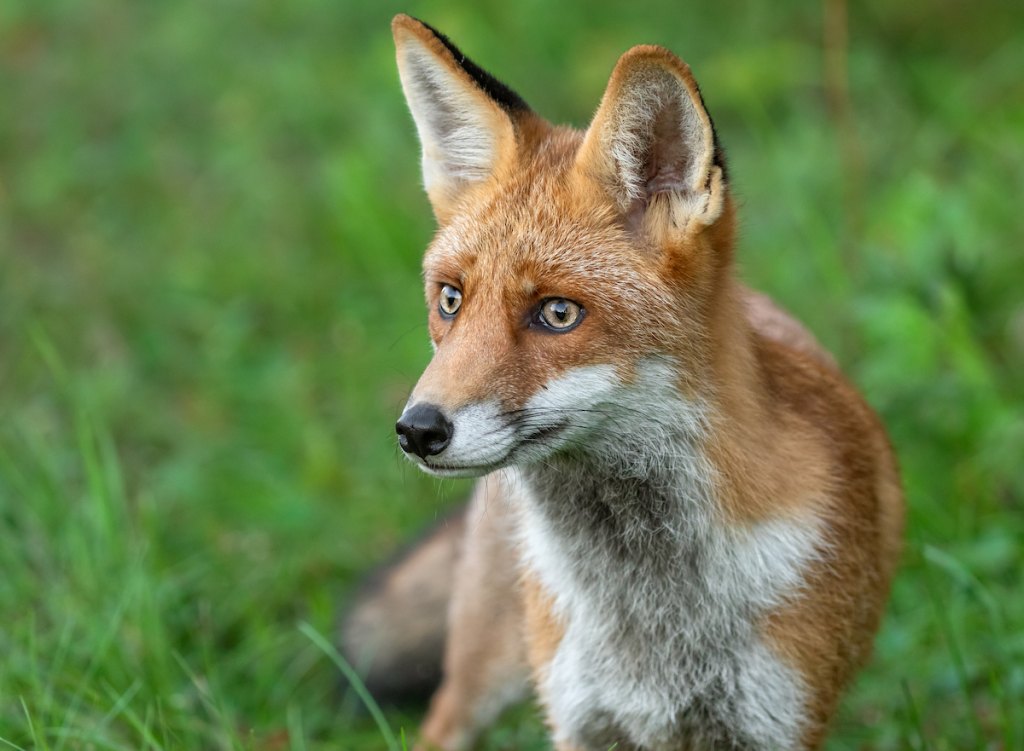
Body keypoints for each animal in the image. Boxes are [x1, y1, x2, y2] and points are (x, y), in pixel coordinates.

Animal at [342, 14, 904, 751]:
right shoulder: (582, 717)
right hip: (485, 673)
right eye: (451, 300)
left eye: (558, 313)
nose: (418, 429)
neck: (649, 614)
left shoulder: (776, 718)